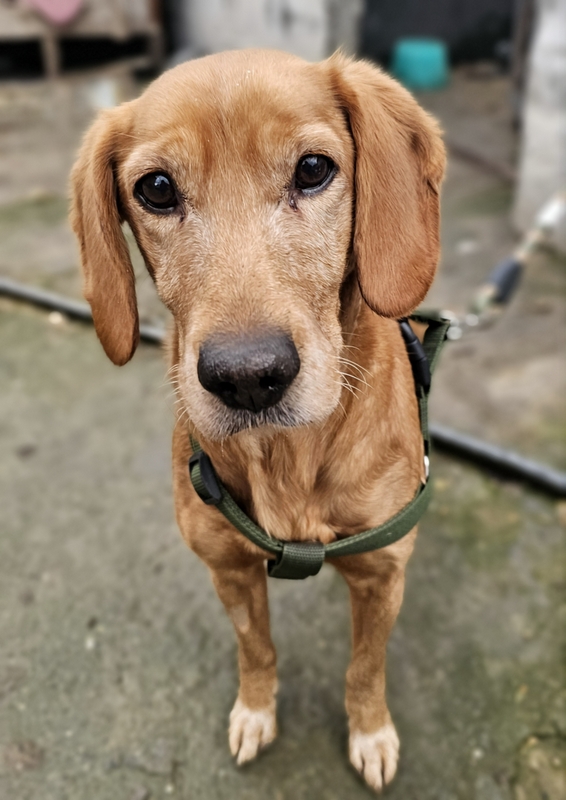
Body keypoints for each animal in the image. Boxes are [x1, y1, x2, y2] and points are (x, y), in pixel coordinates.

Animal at [70, 49, 445, 793]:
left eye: (313, 169)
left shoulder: (381, 575)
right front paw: (256, 710)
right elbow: (257, 649)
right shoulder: (229, 571)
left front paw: (369, 731)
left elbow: (366, 667)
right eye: (157, 189)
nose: (247, 377)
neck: (288, 458)